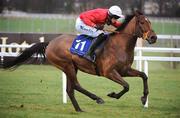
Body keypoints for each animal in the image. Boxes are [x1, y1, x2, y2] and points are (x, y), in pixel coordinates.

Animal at [2, 11, 158, 111]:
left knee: (70, 89)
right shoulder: (108, 72)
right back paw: (97, 98)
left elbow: (144, 75)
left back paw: (79, 109)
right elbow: (126, 86)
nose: (153, 37)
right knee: (76, 85)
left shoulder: (124, 70)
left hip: (71, 67)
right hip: (67, 65)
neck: (119, 45)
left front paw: (144, 98)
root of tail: (50, 42)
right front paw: (113, 95)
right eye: (142, 22)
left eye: (150, 22)